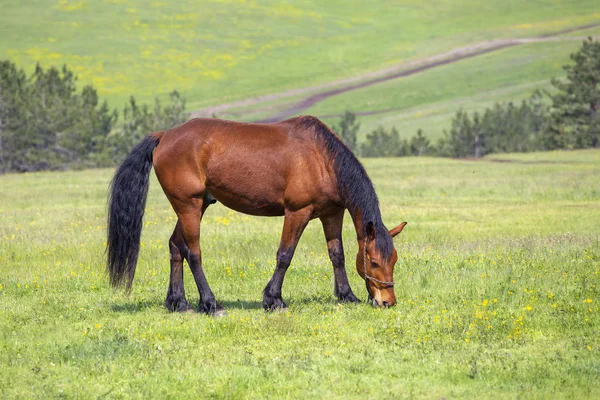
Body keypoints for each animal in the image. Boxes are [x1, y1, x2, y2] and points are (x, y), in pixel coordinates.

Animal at [108, 115, 408, 316]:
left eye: (393, 259)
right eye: (373, 261)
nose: (387, 301)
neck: (322, 159)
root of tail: (165, 135)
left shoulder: (331, 214)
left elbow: (337, 256)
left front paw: (347, 296)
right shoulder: (297, 213)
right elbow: (285, 255)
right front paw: (273, 299)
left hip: (195, 207)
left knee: (175, 247)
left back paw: (178, 303)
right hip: (189, 207)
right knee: (193, 253)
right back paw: (210, 304)